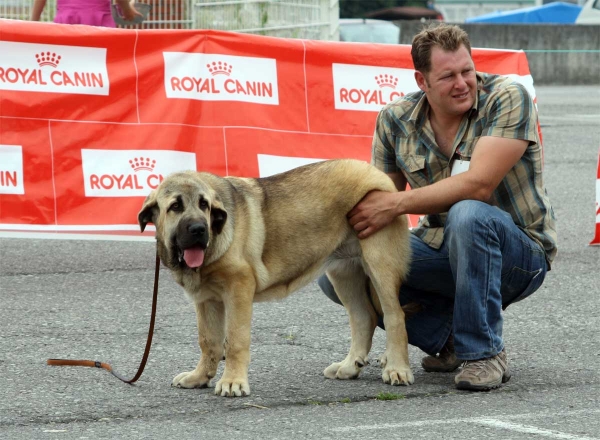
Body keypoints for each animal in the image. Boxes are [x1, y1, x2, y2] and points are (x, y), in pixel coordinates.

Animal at [138, 160, 410, 398]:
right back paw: (349, 366)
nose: (198, 230)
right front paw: (199, 377)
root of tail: (377, 173)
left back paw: (397, 368)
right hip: (344, 273)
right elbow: (208, 342)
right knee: (363, 316)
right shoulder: (206, 300)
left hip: (379, 264)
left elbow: (234, 340)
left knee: (394, 315)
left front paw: (232, 382)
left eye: (204, 205)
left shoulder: (238, 290)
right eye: (175, 206)